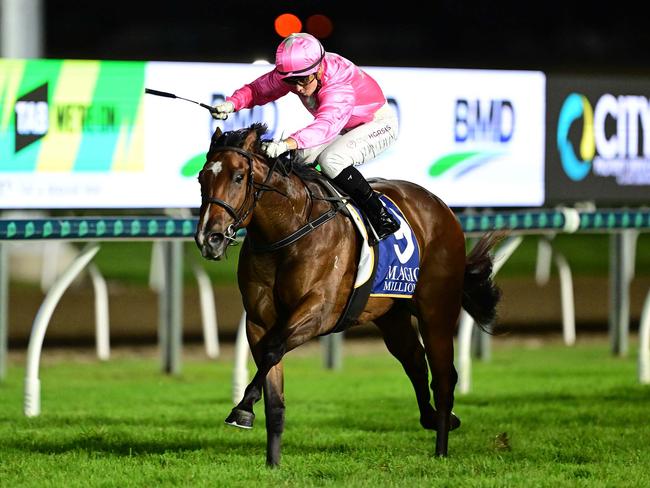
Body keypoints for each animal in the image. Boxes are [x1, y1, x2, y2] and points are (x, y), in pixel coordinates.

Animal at [195, 122, 498, 466]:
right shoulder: (259, 321)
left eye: (238, 177)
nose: (209, 238)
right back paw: (431, 418)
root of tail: (440, 205)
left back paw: (442, 448)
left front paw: (242, 407)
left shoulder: (320, 310)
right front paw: (271, 461)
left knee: (444, 377)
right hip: (392, 316)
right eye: (202, 177)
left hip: (437, 311)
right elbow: (274, 391)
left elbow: (273, 350)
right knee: (415, 363)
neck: (288, 229)